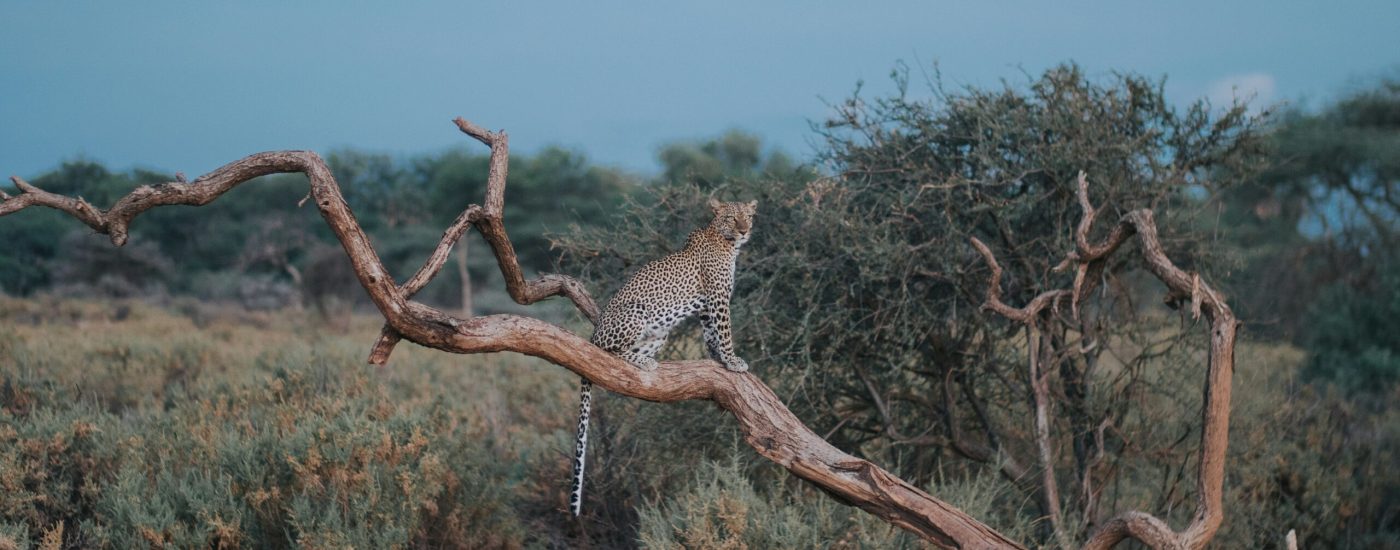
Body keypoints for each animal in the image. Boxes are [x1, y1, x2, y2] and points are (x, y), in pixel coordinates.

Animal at [569, 199, 758, 516]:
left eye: (748, 216)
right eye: (733, 218)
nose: (744, 230)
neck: (727, 243)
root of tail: (593, 334)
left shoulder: (706, 306)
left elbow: (711, 335)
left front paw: (718, 358)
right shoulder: (718, 298)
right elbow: (725, 332)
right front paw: (733, 361)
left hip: (659, 334)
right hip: (636, 313)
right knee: (609, 353)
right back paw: (643, 362)